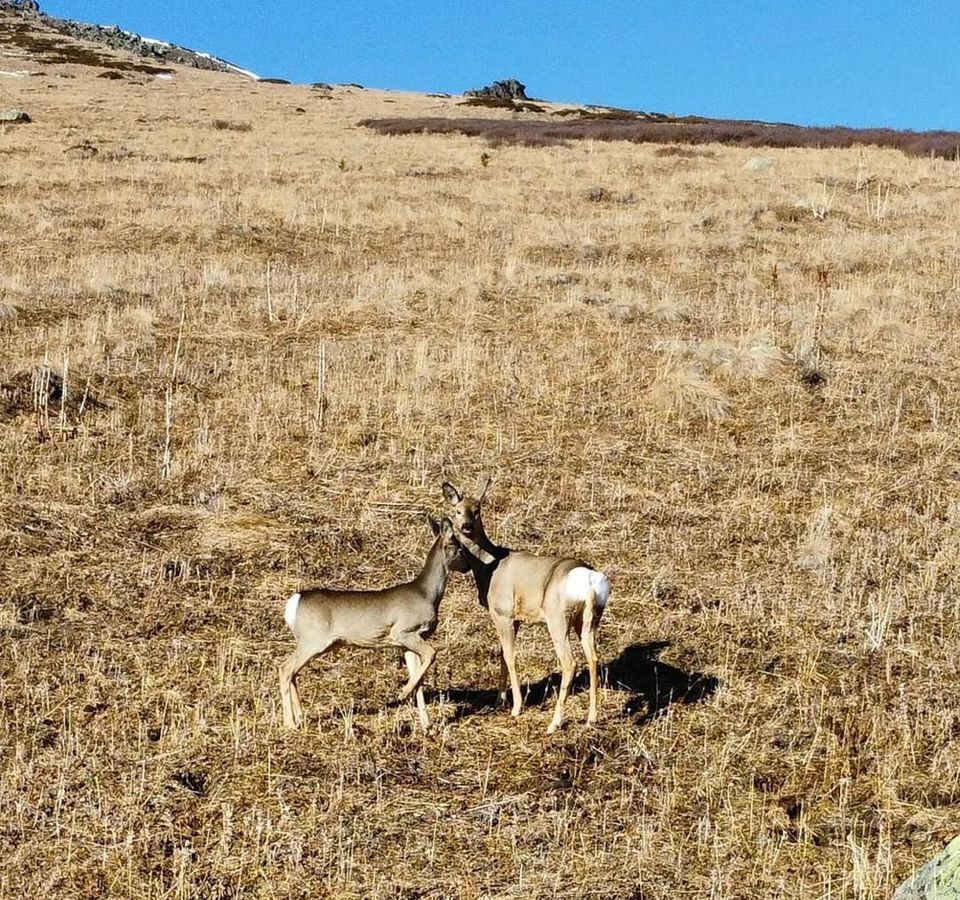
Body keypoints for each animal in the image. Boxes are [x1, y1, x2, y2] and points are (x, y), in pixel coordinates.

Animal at [278, 512, 468, 732]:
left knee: (293, 672)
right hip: (313, 640)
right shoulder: (404, 631)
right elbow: (432, 654)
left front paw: (426, 724)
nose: (469, 566)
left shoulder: (406, 644)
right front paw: (402, 693)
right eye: (460, 547)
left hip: (313, 643)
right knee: (285, 669)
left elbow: (419, 679)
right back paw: (290, 723)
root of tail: (293, 602)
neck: (427, 594)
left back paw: (300, 717)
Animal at [440, 474, 612, 736]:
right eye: (458, 510)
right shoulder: (516, 618)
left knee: (570, 663)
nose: (466, 526)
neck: (490, 567)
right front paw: (499, 699)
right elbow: (502, 654)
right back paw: (591, 718)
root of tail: (590, 583)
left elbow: (510, 655)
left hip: (558, 618)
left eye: (477, 510)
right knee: (593, 659)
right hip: (589, 620)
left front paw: (516, 706)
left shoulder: (503, 612)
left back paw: (554, 723)